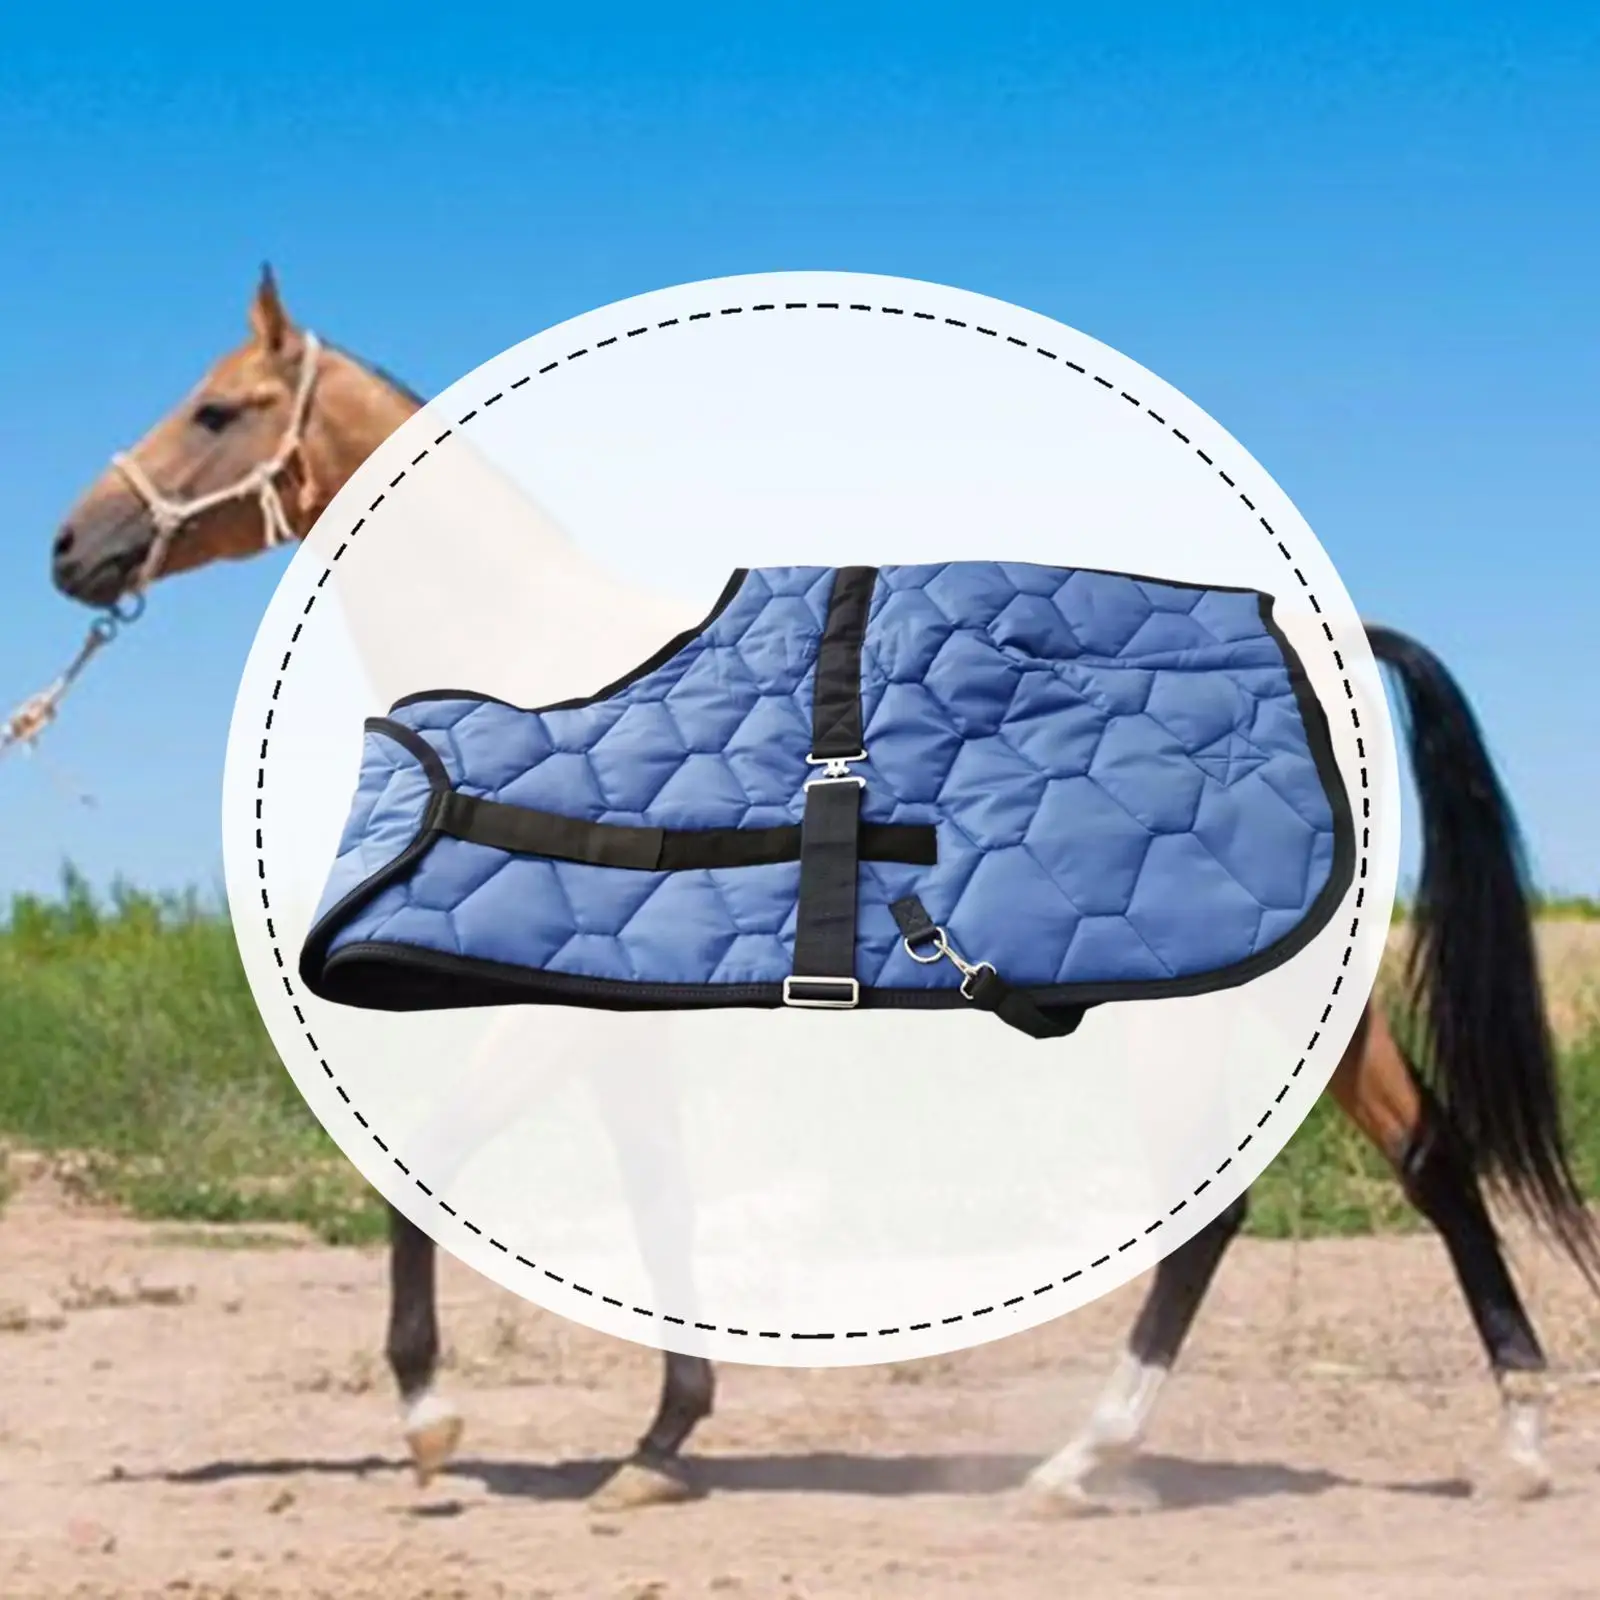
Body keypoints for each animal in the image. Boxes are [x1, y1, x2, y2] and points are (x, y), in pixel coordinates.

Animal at [49, 267, 1598, 1510]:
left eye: (217, 410)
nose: (73, 548)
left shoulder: (543, 1020)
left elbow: (433, 1165)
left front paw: (435, 1426)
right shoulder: (613, 1030)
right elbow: (661, 1202)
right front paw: (660, 1442)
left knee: (1224, 1209)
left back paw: (1082, 1461)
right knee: (1430, 1158)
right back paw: (1515, 1443)